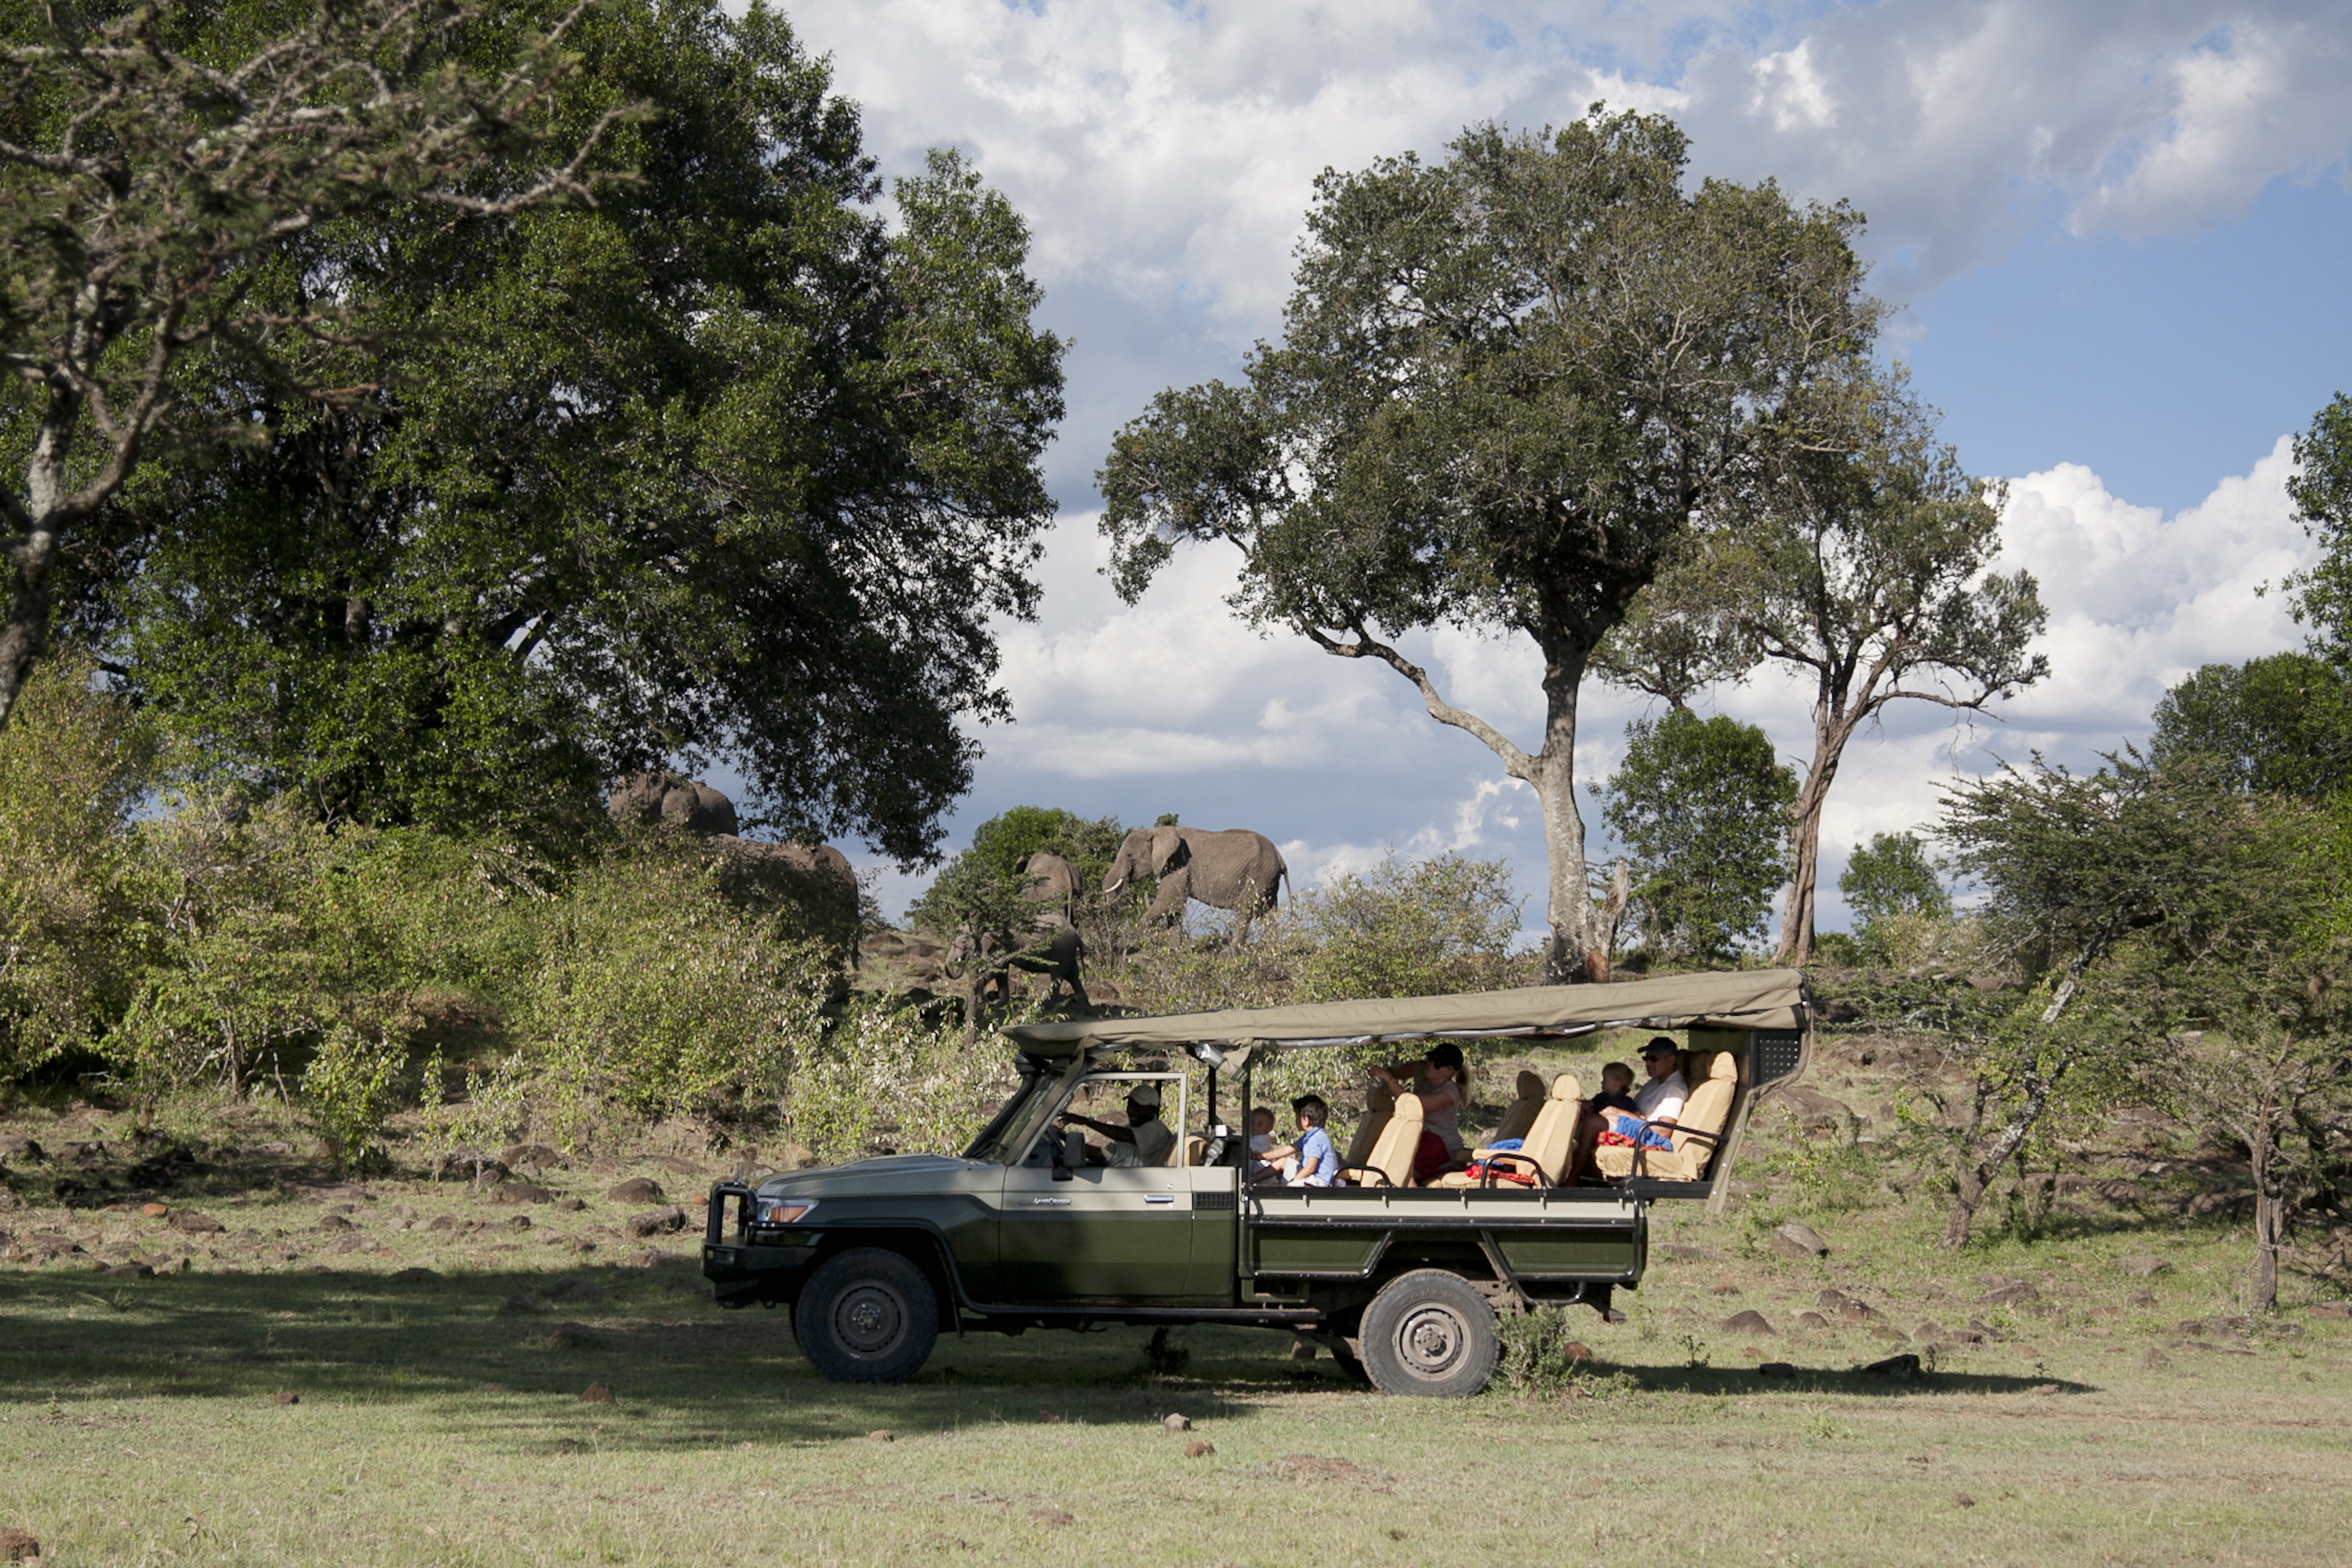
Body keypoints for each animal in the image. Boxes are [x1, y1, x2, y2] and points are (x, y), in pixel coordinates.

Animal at [1101, 827, 1289, 940]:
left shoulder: (1179, 864)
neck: (1157, 831)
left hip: (1257, 874)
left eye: (1129, 855)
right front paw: (1174, 953)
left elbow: (1167, 903)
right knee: (1269, 913)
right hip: (1267, 878)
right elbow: (1174, 909)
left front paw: (1137, 944)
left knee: (1245, 910)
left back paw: (1228, 954)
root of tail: (1280, 857)